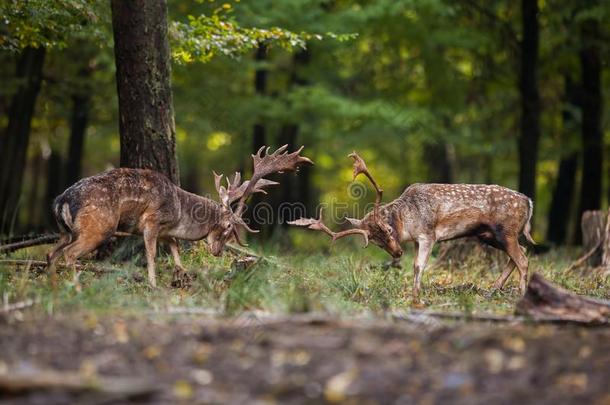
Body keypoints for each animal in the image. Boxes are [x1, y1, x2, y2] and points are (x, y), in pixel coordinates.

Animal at [47, 144, 312, 286]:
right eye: (228, 227)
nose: (218, 252)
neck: (178, 211)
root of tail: (61, 200)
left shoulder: (166, 230)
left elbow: (175, 247)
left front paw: (181, 276)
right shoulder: (151, 221)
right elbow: (152, 254)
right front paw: (153, 284)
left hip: (64, 231)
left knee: (52, 253)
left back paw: (53, 287)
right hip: (99, 226)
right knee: (70, 254)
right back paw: (77, 287)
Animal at [290, 152, 532, 296]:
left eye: (389, 229)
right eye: (375, 242)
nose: (397, 253)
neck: (408, 223)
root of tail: (528, 201)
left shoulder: (428, 234)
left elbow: (418, 265)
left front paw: (417, 295)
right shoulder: (417, 240)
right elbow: (416, 265)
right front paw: (415, 292)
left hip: (505, 230)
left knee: (523, 258)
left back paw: (521, 293)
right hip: (490, 235)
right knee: (522, 251)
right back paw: (494, 289)